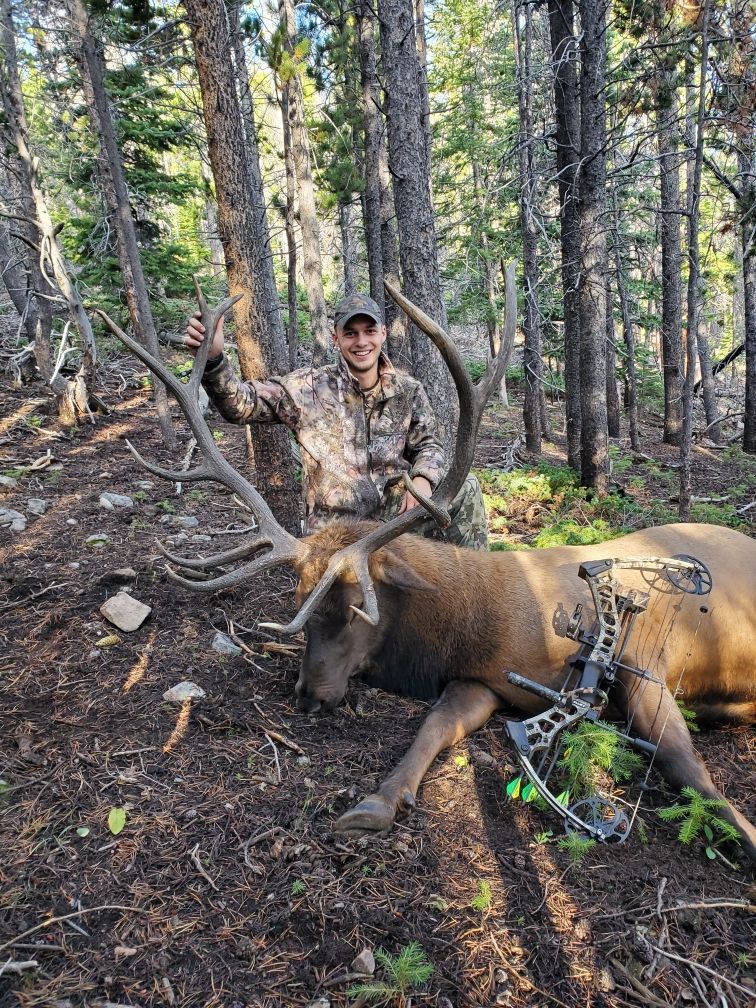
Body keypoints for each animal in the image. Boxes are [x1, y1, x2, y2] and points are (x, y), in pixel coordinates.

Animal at [96, 272, 756, 861]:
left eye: (355, 607)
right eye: (300, 599)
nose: (308, 696)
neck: (470, 624)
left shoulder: (641, 662)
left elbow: (685, 766)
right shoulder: (479, 681)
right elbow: (432, 729)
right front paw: (376, 803)